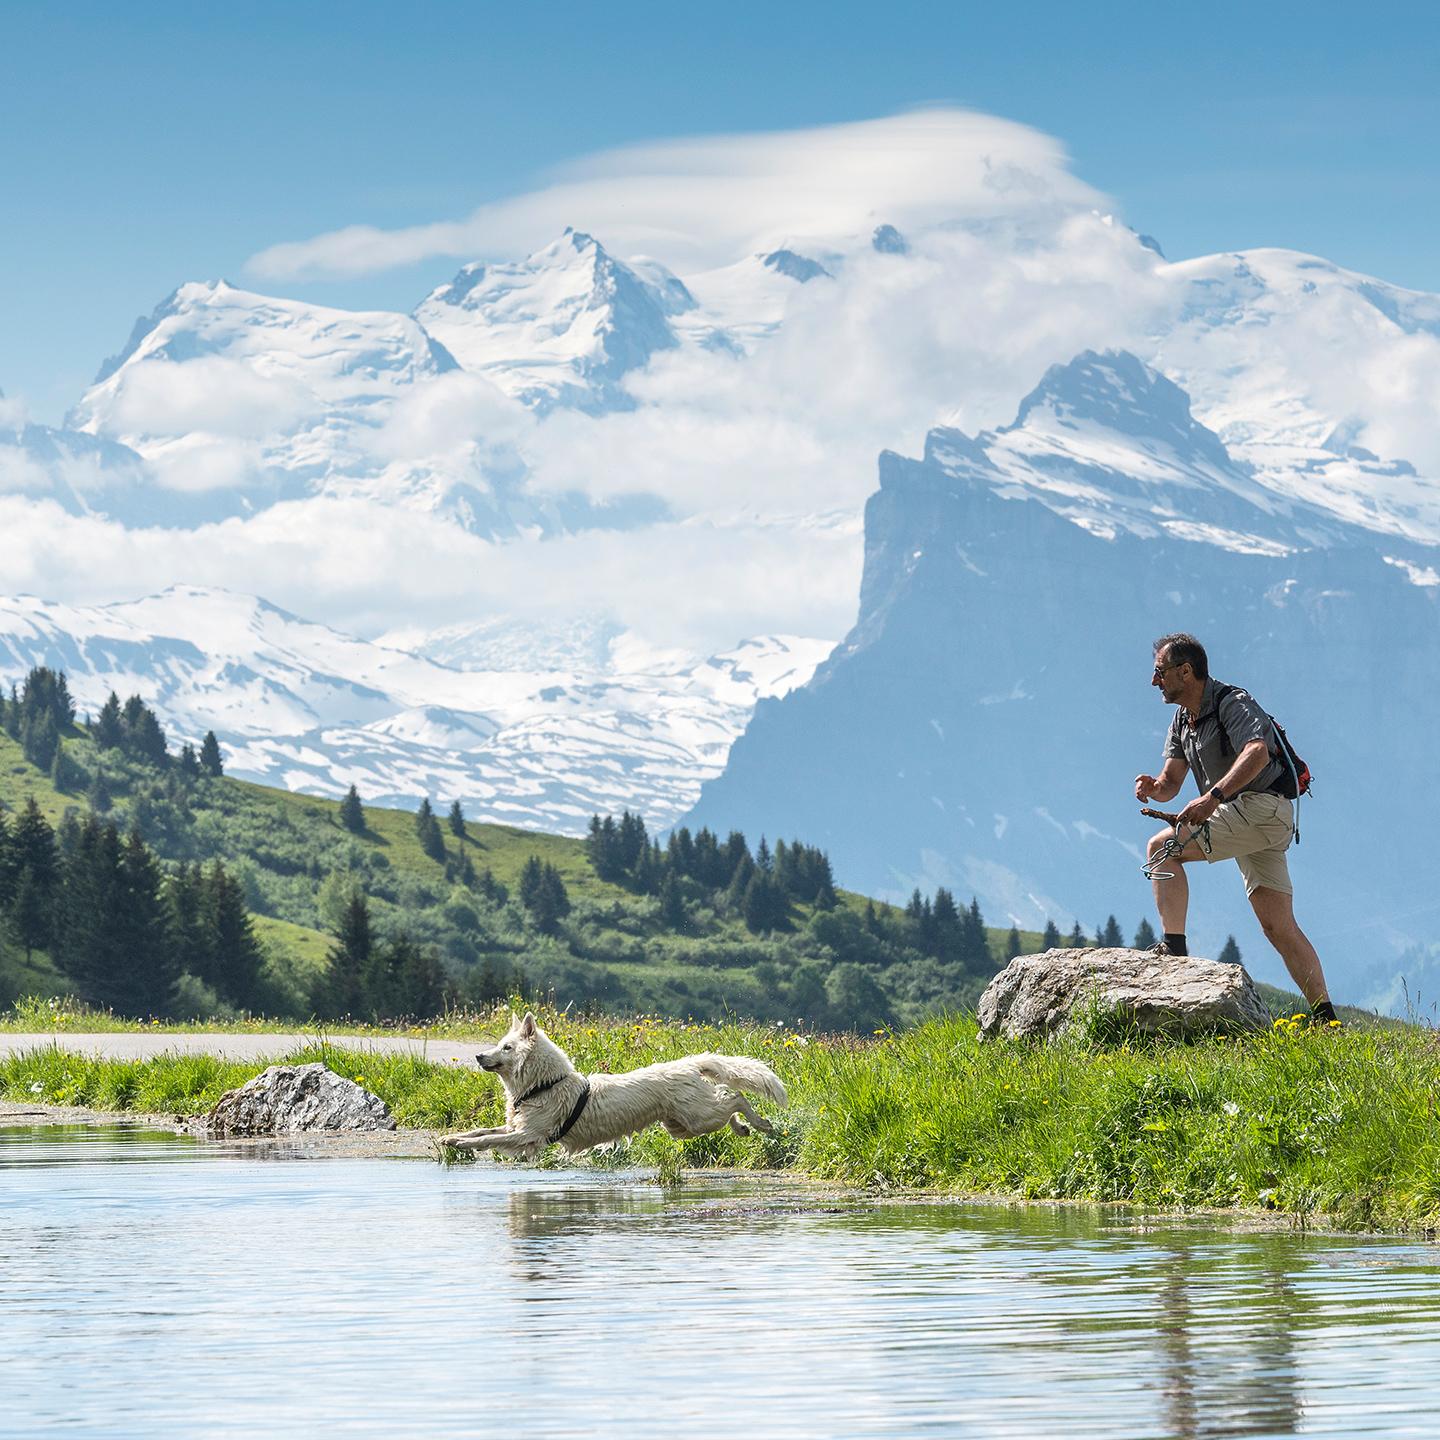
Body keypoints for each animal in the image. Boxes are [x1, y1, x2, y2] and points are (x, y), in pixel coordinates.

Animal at [446, 1008, 794, 1163]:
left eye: (506, 1047)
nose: (478, 1056)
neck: (544, 1084)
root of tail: (688, 1063)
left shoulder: (529, 1136)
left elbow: (487, 1139)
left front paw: (461, 1144)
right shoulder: (515, 1128)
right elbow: (482, 1131)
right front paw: (452, 1137)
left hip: (698, 1118)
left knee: (736, 1096)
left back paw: (760, 1124)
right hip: (682, 1125)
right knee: (728, 1099)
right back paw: (742, 1128)